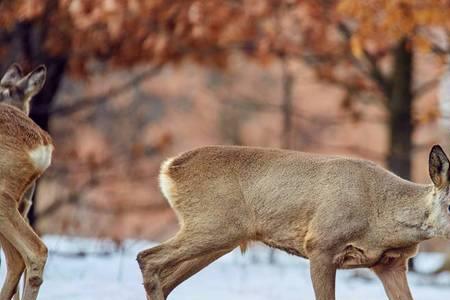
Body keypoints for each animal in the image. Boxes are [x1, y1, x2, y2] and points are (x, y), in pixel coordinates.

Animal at [138, 144, 450, 298]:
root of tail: (169, 169)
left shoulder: (390, 264)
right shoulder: (321, 244)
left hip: (221, 236)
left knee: (164, 277)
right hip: (214, 225)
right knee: (147, 258)